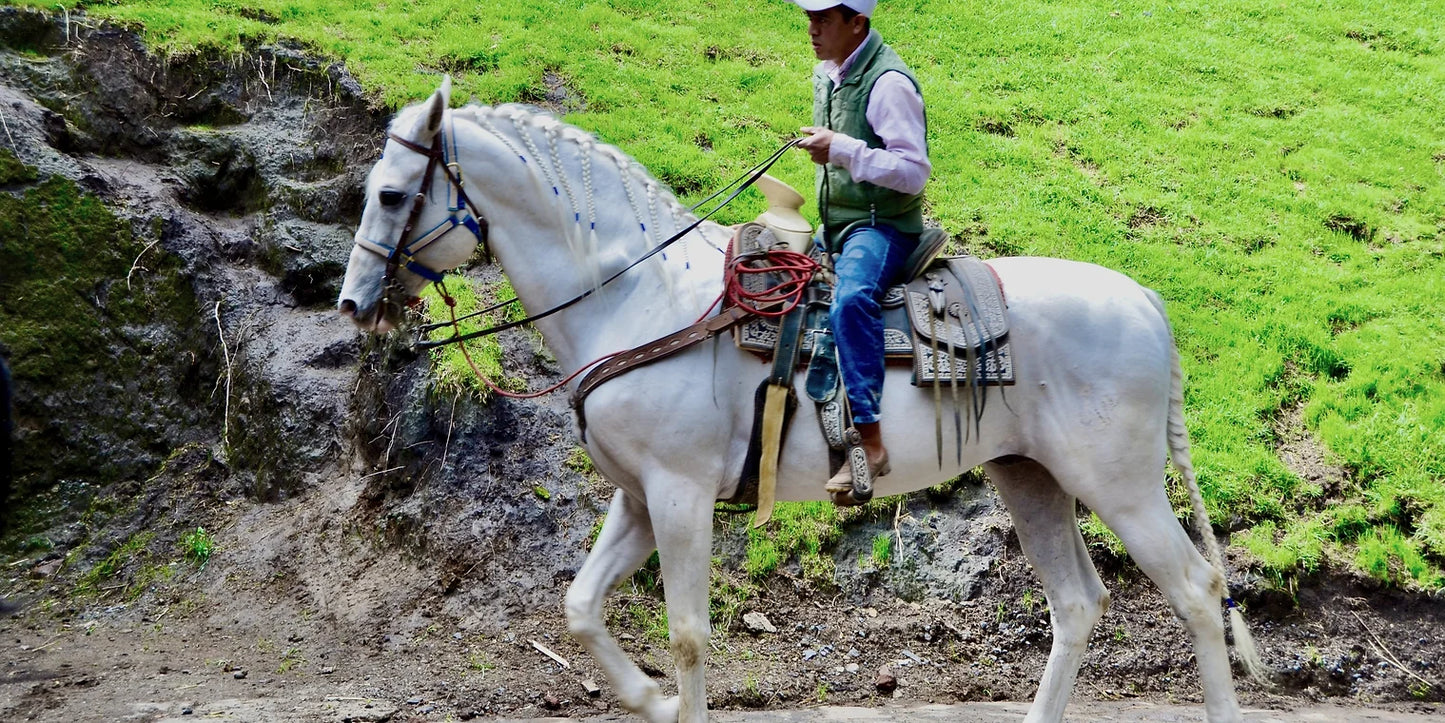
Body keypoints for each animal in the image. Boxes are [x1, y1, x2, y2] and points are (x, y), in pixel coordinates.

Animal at [338, 80, 1265, 723]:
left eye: (391, 194)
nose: (351, 303)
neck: (640, 295)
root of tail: (1144, 299)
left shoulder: (679, 495)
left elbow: (687, 633)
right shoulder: (637, 497)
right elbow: (579, 606)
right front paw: (652, 700)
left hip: (1121, 484)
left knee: (1194, 588)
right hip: (1028, 477)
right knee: (1076, 603)